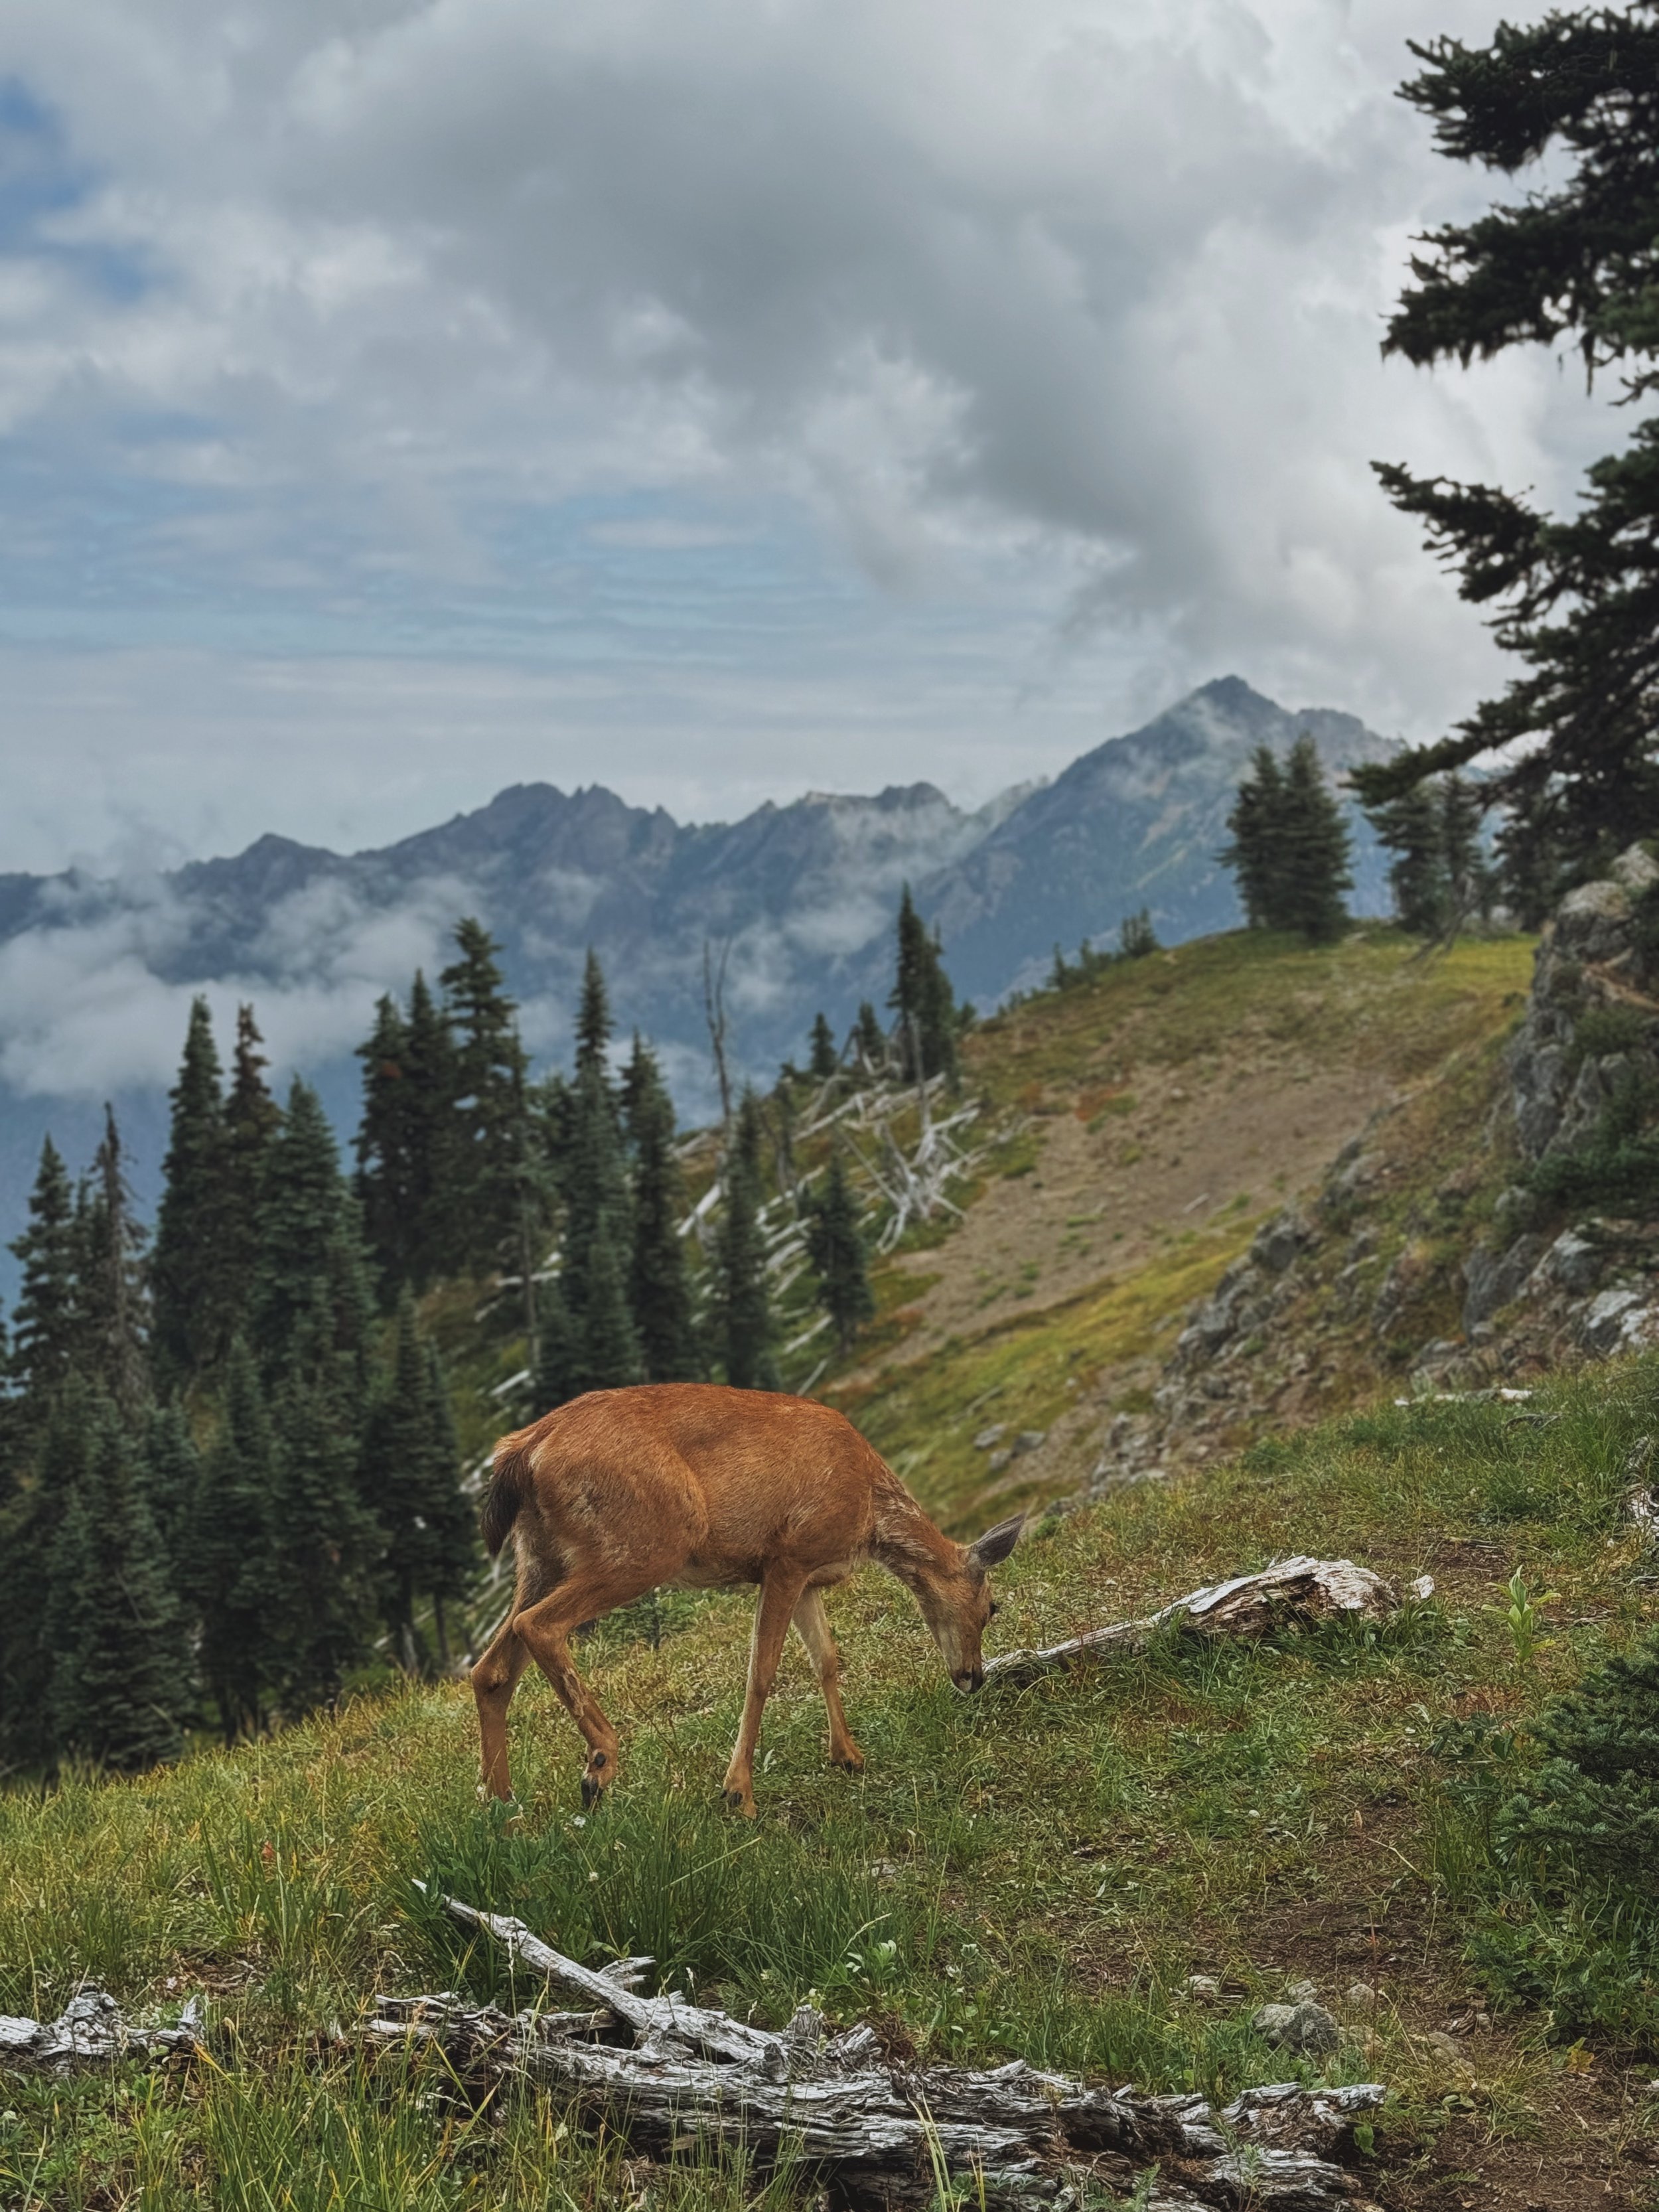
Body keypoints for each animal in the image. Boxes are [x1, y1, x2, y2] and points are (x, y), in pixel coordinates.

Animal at [470, 1382, 1025, 1816]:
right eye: (991, 1607)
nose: (974, 1676)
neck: (871, 1515)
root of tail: (525, 1449)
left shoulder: (807, 1577)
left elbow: (826, 1658)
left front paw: (848, 1754)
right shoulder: (787, 1556)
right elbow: (762, 1671)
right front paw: (738, 1791)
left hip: (540, 1556)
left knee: (489, 1668)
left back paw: (503, 1808)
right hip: (644, 1543)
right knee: (537, 1625)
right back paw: (599, 1763)